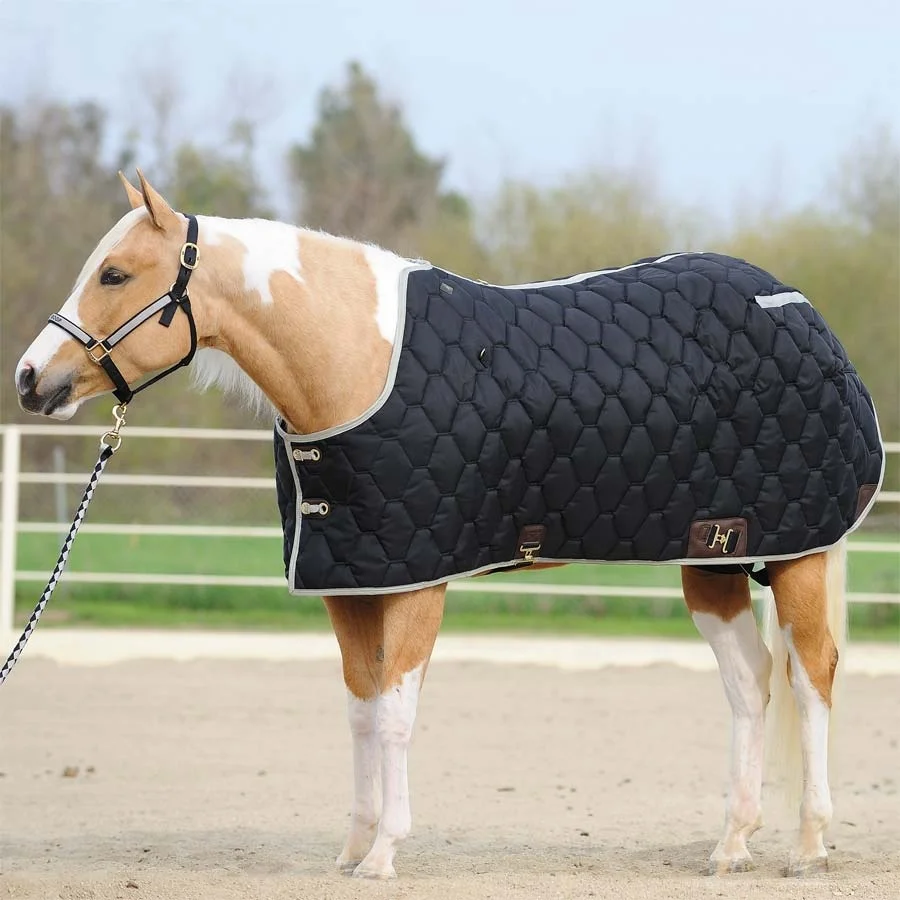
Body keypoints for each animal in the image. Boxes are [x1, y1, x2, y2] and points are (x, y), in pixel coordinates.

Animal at [15, 170, 883, 880]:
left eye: (116, 273)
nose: (30, 379)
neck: (358, 363)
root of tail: (804, 315)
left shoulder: (418, 580)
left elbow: (398, 714)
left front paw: (385, 854)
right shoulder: (352, 582)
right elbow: (362, 710)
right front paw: (353, 847)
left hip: (796, 557)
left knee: (810, 675)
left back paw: (809, 845)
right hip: (716, 558)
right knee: (749, 682)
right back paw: (731, 844)